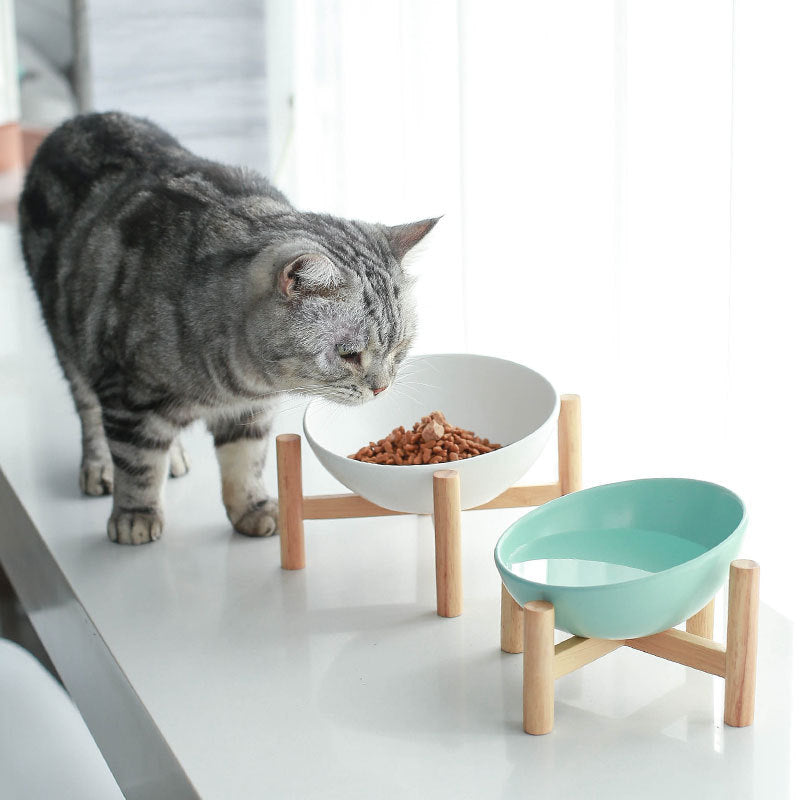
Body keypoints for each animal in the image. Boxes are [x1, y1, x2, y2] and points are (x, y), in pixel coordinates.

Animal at [18, 112, 434, 544]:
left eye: (399, 349)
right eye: (349, 354)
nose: (381, 388)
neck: (235, 381)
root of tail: (79, 119)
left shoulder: (250, 412)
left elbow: (244, 464)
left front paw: (254, 509)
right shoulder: (127, 393)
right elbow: (137, 465)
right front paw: (135, 515)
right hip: (71, 345)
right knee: (90, 413)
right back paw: (100, 466)